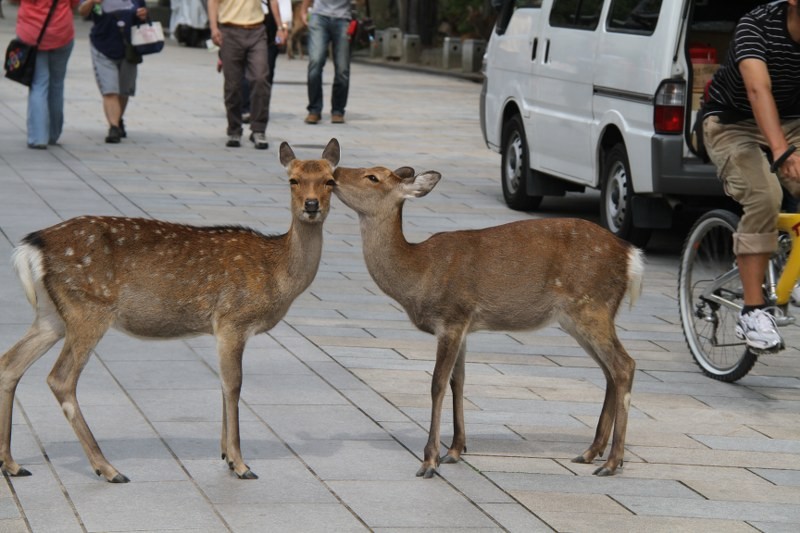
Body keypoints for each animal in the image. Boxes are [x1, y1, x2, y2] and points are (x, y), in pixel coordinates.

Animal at [0, 137, 340, 482]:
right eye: (293, 180)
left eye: (330, 181)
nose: (311, 205)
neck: (277, 271)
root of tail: (30, 246)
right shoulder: (232, 319)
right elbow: (233, 384)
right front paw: (240, 464)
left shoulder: (221, 329)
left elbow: (222, 383)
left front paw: (225, 456)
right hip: (88, 309)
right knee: (60, 378)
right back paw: (107, 468)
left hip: (52, 314)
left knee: (10, 363)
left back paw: (12, 463)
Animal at [334, 166, 648, 478]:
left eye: (373, 177)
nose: (334, 173)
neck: (420, 272)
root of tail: (632, 258)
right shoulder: (463, 325)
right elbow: (458, 380)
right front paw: (455, 450)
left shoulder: (451, 316)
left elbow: (437, 383)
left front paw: (429, 461)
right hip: (578, 318)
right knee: (609, 371)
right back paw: (590, 452)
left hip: (592, 307)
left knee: (624, 364)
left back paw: (612, 462)